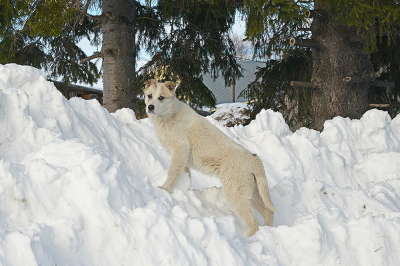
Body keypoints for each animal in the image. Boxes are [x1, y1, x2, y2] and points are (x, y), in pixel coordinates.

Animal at [144, 79, 278, 237]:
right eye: (149, 96)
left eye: (161, 98)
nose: (150, 107)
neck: (170, 115)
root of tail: (253, 157)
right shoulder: (183, 158)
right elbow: (184, 174)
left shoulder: (180, 148)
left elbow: (172, 172)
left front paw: (164, 189)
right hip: (252, 192)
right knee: (268, 212)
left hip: (236, 194)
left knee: (253, 222)